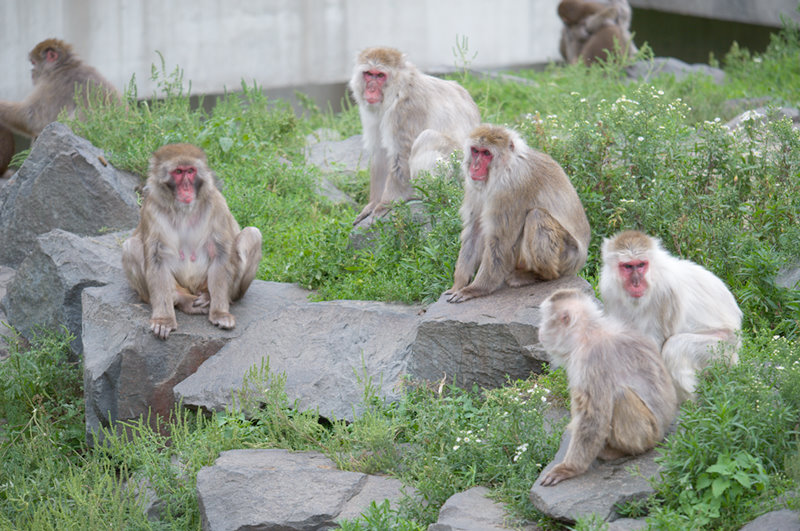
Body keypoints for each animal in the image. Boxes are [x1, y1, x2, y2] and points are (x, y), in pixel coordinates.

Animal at [446, 125, 592, 306]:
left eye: (486, 153)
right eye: (475, 151)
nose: (475, 167)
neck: (505, 167)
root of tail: (581, 259)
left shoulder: (510, 189)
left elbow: (500, 242)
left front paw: (475, 289)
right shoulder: (474, 186)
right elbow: (475, 230)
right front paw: (458, 284)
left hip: (568, 257)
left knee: (536, 216)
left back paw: (538, 276)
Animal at [596, 231, 740, 402]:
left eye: (641, 265)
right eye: (628, 266)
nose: (636, 282)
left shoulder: (666, 292)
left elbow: (656, 347)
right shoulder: (608, 289)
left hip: (725, 350)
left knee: (675, 348)